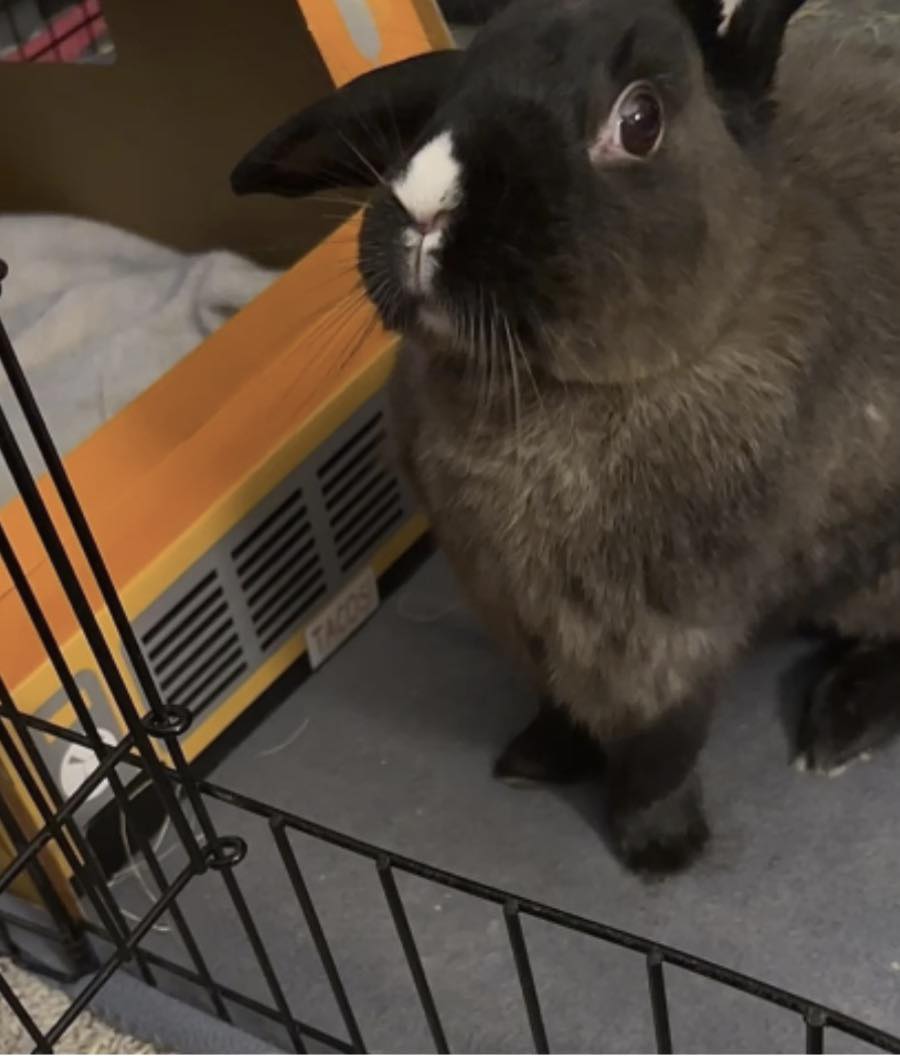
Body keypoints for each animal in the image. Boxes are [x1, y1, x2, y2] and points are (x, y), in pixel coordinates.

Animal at [232, 0, 900, 873]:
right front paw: (533, 763)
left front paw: (659, 850)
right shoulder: (516, 610)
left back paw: (840, 725)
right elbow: (560, 705)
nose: (424, 207)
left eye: (640, 120)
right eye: (452, 94)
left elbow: (662, 747)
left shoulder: (663, 636)